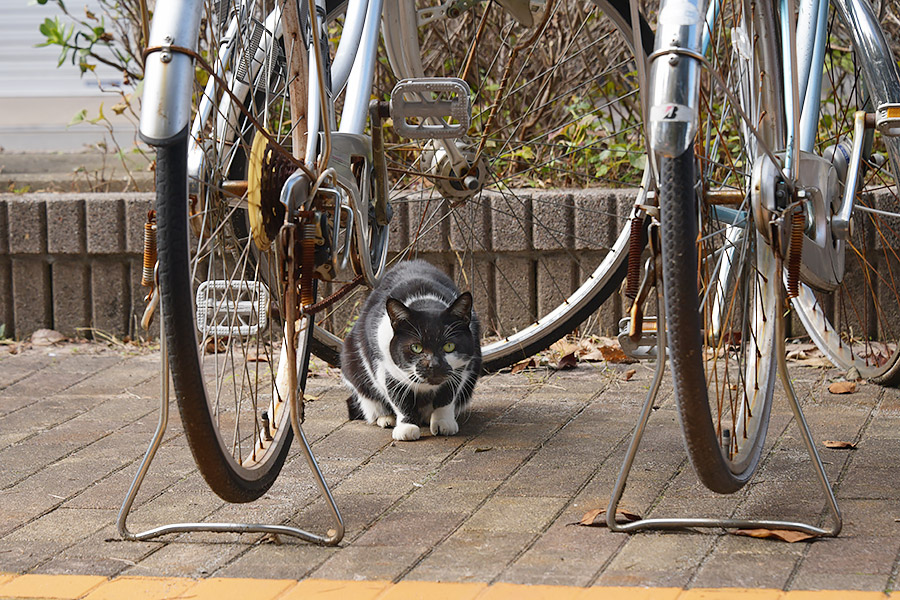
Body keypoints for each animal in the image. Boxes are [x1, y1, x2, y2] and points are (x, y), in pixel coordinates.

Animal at [342, 262, 482, 440]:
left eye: (449, 346)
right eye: (416, 347)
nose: (434, 365)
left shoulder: (460, 368)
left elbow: (448, 395)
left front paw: (443, 421)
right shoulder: (385, 365)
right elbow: (398, 397)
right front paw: (406, 427)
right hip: (351, 361)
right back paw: (386, 418)